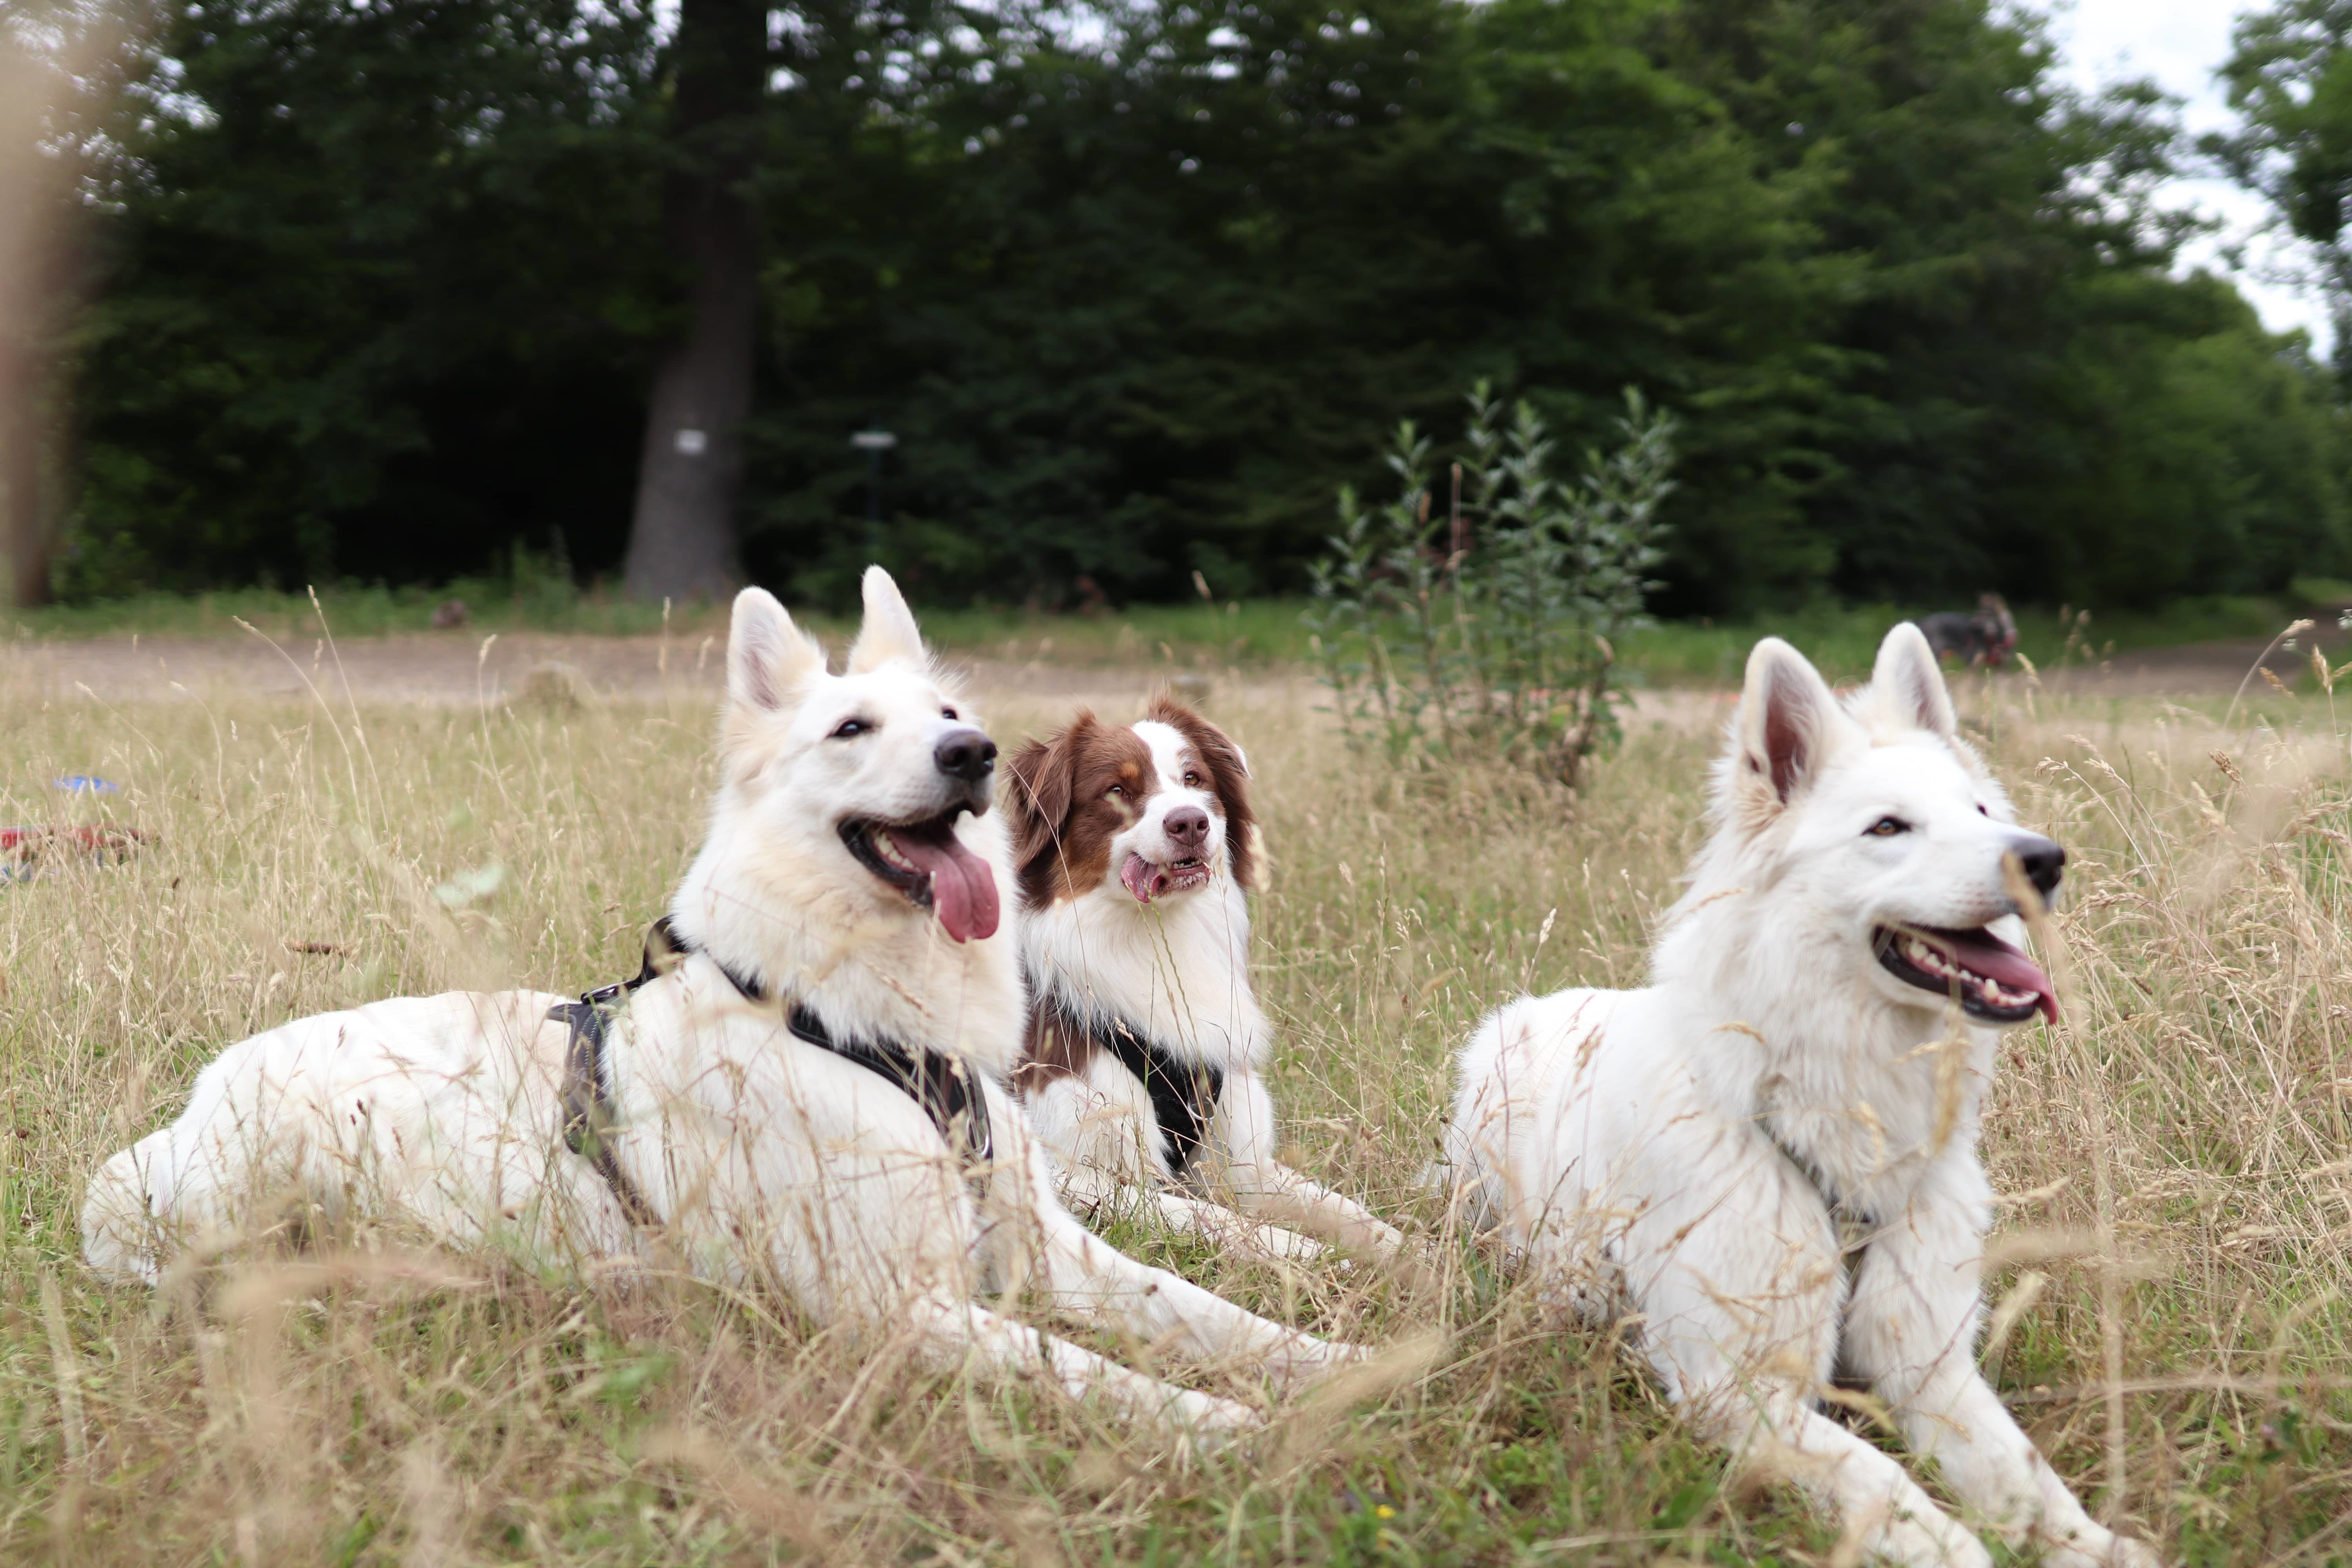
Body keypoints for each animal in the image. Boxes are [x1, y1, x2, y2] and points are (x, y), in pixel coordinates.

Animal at [1002, 705, 1402, 1269]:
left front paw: (1427, 1255)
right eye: (1117, 790)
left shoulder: (1241, 1157)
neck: (1154, 939)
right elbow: (1218, 1220)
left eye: (1194, 780)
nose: (1191, 821)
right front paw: (1313, 1257)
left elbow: (1351, 1213)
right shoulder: (1075, 1173)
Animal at [1430, 625, 2154, 1568]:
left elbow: (2029, 1478)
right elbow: (1890, 1488)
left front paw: (2097, 1544)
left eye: (1981, 811)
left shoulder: (1931, 1365)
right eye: (1888, 827)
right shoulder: (1736, 1388)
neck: (1833, 1121)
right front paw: (1954, 1546)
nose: (2044, 858)